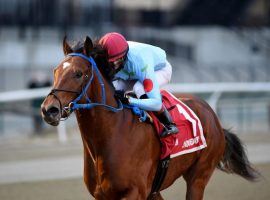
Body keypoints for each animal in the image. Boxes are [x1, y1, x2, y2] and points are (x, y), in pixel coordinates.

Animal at [40, 36, 260, 199]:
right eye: (55, 71)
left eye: (78, 73)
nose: (49, 109)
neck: (111, 136)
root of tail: (213, 117)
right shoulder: (106, 196)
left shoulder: (134, 193)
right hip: (155, 190)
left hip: (198, 178)